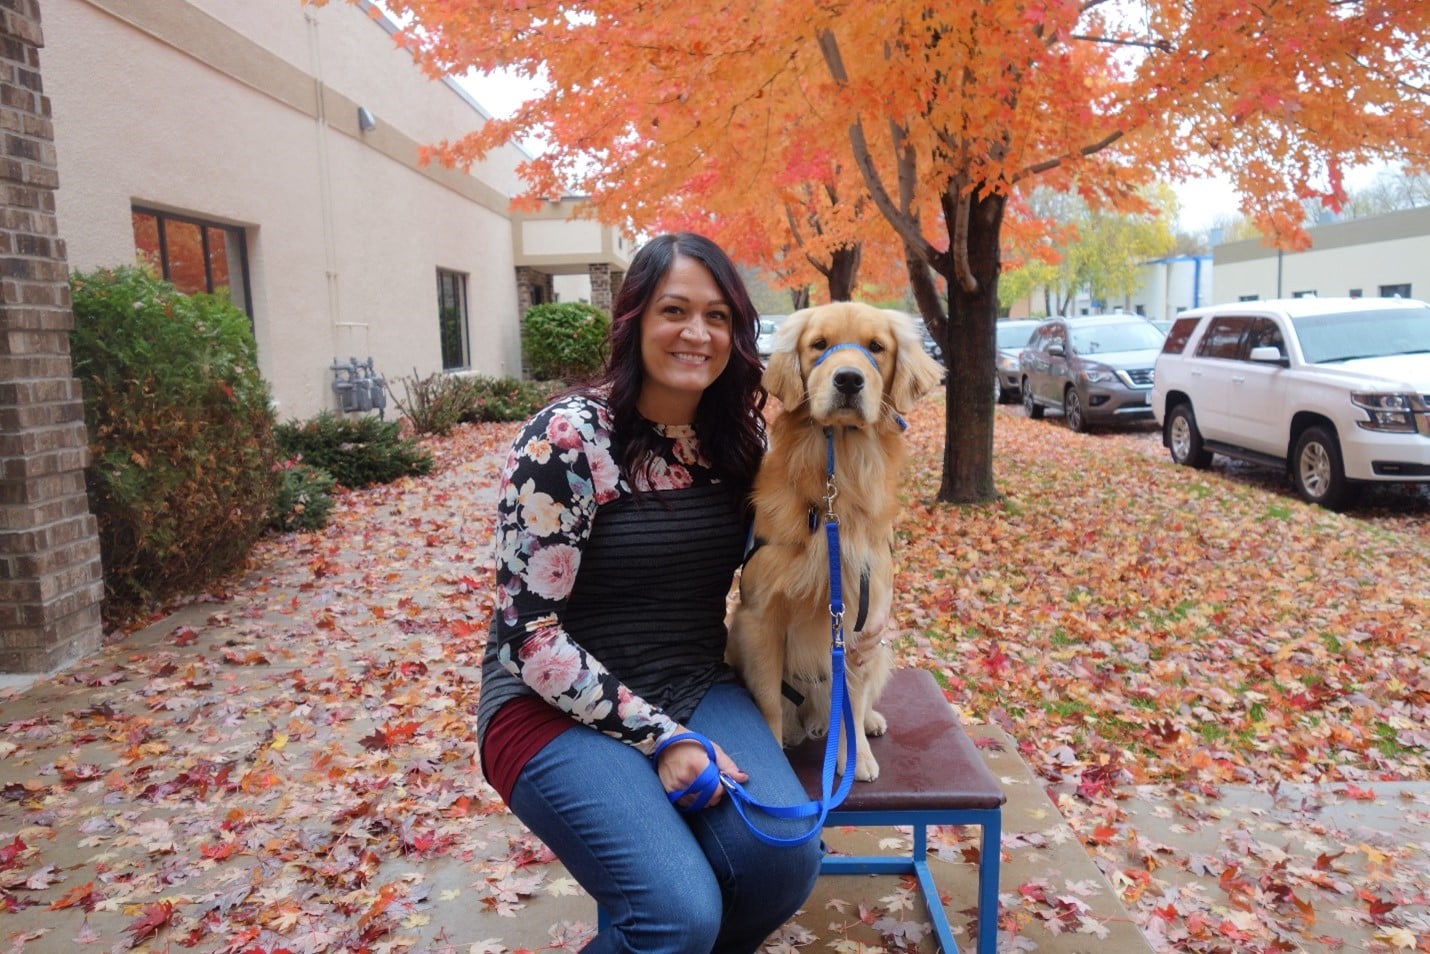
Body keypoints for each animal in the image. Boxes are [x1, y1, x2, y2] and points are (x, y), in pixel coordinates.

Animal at [732, 301, 943, 778]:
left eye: (877, 347)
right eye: (819, 344)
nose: (848, 379)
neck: (835, 481)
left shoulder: (860, 622)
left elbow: (853, 698)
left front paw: (856, 757)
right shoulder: (759, 618)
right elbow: (769, 702)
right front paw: (777, 744)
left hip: (882, 645)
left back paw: (871, 722)